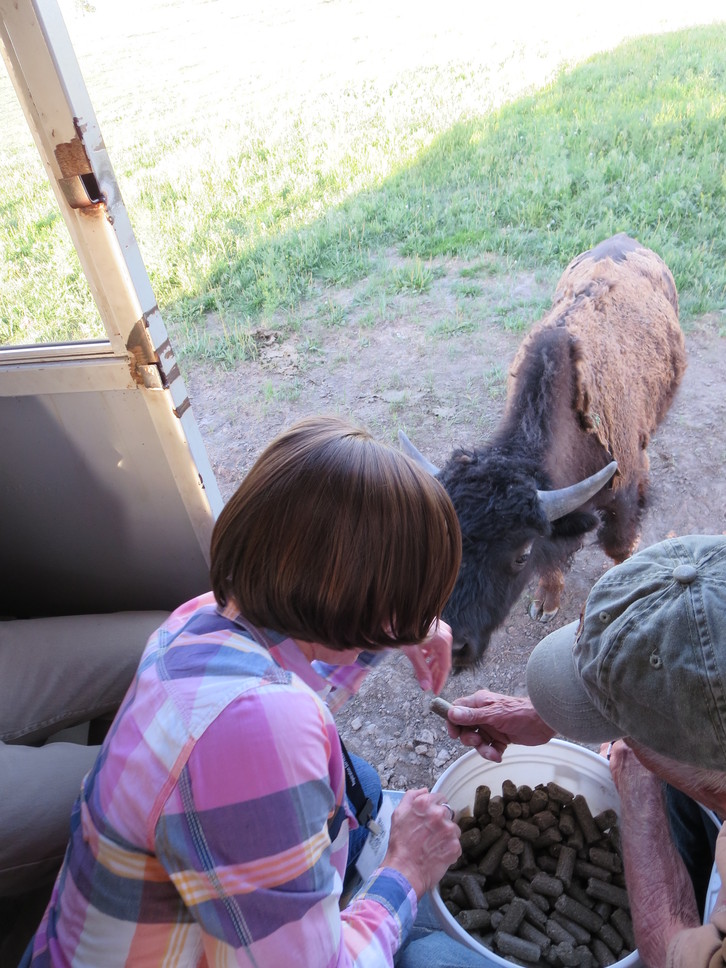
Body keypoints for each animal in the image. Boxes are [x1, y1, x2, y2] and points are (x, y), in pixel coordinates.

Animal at [404, 236, 688, 672]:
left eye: (520, 555)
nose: (451, 647)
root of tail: (627, 239)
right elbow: (554, 557)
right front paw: (545, 604)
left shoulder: (620, 494)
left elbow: (618, 546)